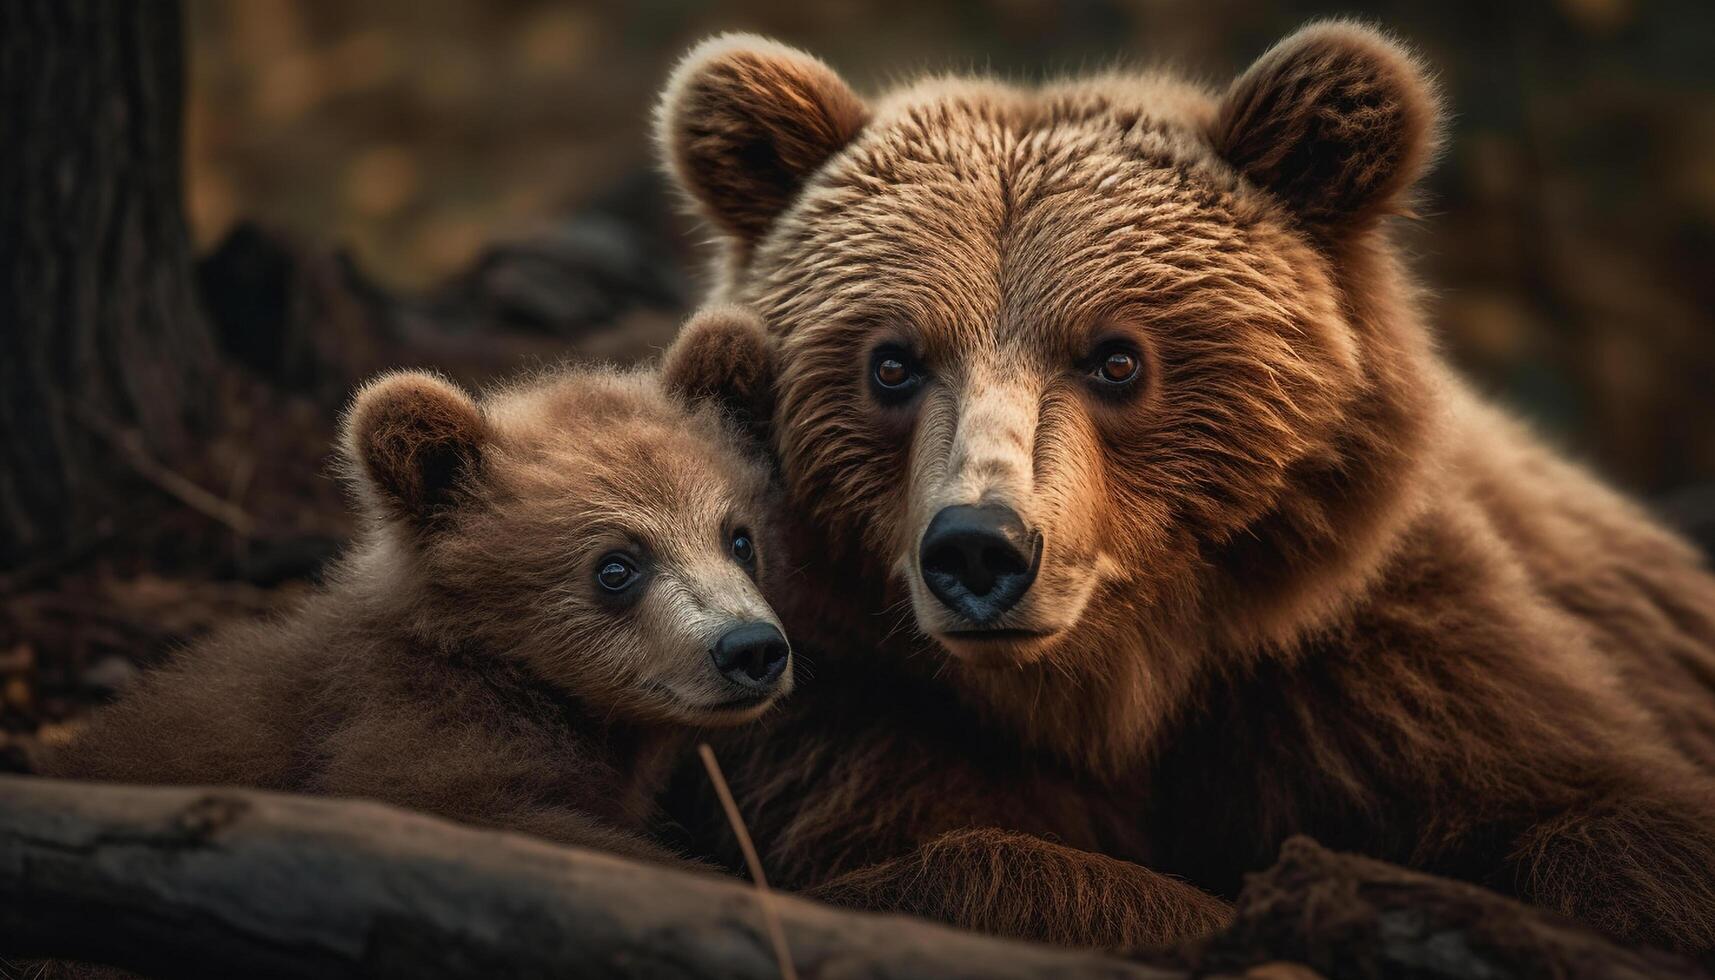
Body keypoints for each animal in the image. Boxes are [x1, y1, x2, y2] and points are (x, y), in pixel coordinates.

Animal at [648, 22, 1715, 954]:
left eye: (1117, 358)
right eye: (893, 363)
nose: (980, 549)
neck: (1119, 687)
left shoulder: (1384, 670)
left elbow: (1612, 822)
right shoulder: (846, 716)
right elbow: (953, 854)